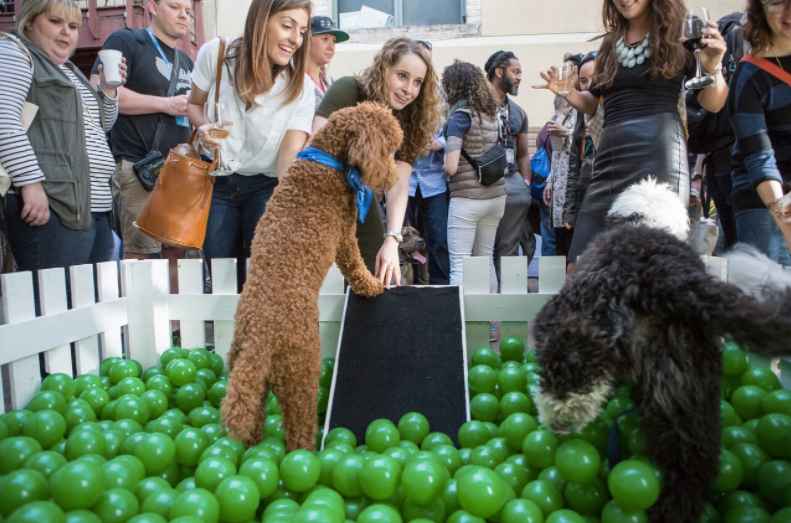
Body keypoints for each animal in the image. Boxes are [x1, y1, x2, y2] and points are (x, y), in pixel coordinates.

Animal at [221, 101, 402, 450]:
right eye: (387, 148)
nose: (395, 177)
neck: (326, 158)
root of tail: (259, 339)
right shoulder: (344, 238)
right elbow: (357, 268)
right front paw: (373, 286)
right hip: (301, 374)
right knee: (299, 432)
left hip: (252, 380)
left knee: (254, 426)